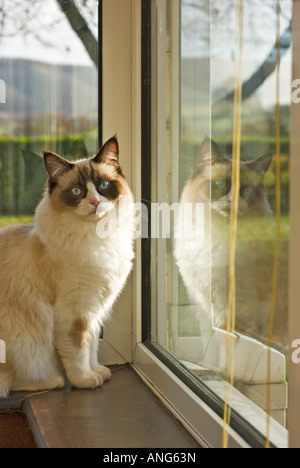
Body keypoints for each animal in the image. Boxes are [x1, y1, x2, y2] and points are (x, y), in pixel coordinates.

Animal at [0, 137, 134, 396]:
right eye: (77, 191)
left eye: (103, 185)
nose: (95, 202)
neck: (99, 237)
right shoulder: (74, 312)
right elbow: (78, 350)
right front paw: (85, 380)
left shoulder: (94, 308)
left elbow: (91, 347)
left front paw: (98, 371)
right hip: (23, 337)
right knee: (12, 382)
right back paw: (54, 381)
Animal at [173, 137, 274, 330]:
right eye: (220, 185)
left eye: (246, 191)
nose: (232, 200)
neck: (213, 232)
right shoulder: (201, 299)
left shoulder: (233, 300)